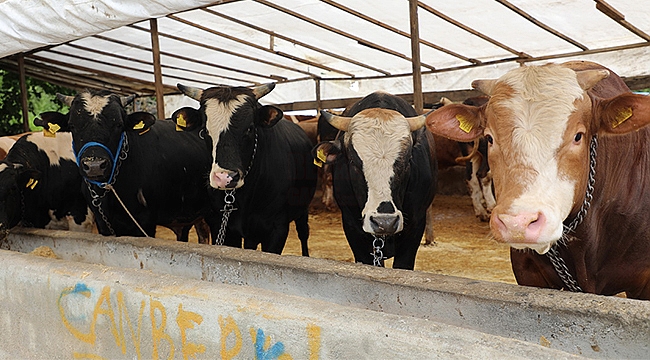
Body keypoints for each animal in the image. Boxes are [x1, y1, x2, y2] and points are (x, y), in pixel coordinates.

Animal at [175, 82, 316, 256]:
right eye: (205, 130)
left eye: (249, 128)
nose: (225, 178)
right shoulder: (220, 226)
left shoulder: (277, 229)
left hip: (302, 210)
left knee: (303, 233)